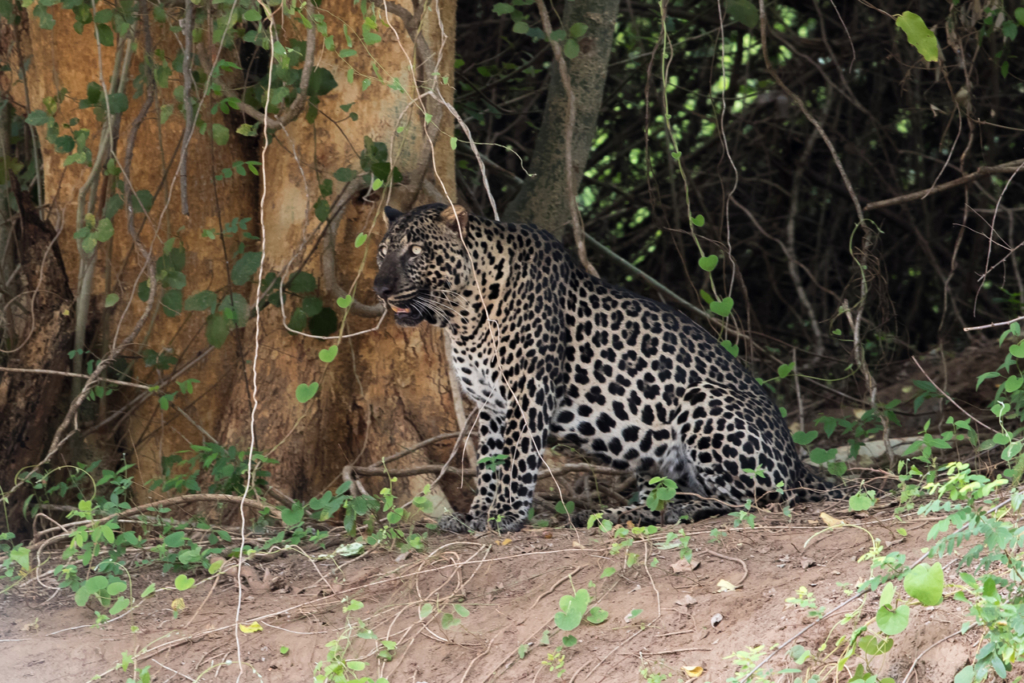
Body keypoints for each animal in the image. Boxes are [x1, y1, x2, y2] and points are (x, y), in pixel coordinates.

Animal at [372, 202, 843, 532]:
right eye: (382, 252)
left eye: (416, 251)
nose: (380, 288)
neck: (462, 314)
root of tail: (798, 463)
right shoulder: (491, 405)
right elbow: (489, 463)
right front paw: (477, 515)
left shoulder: (528, 393)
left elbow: (517, 461)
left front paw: (504, 516)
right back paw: (627, 513)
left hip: (704, 402)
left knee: (755, 498)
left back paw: (674, 510)